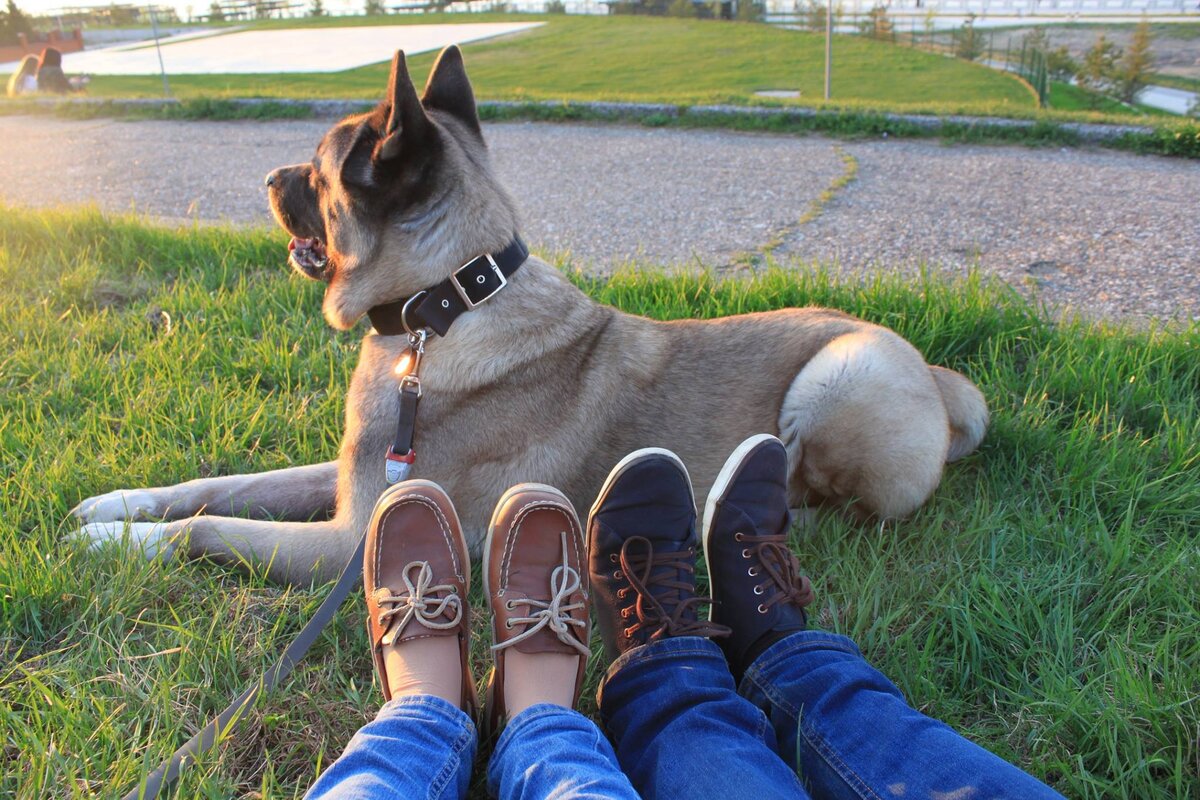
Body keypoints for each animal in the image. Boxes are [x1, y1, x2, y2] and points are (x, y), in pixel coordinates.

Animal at [79, 47, 988, 585]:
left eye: (320, 170)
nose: (269, 178)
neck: (447, 303)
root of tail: (942, 384)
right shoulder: (349, 486)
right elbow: (221, 486)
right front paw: (120, 504)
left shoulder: (352, 538)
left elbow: (213, 530)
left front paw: (121, 545)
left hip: (837, 380)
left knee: (841, 512)